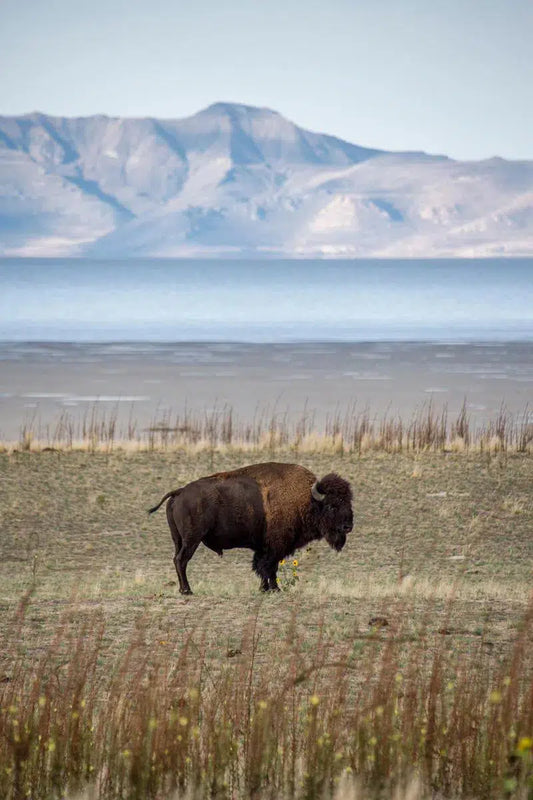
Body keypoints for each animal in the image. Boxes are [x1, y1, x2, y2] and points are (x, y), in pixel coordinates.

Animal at [148, 461, 353, 595]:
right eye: (332, 506)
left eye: (349, 502)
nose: (348, 526)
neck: (306, 499)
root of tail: (180, 492)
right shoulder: (274, 548)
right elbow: (269, 568)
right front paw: (275, 589)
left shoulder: (263, 547)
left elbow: (261, 567)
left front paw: (264, 589)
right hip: (192, 539)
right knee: (181, 560)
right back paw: (187, 590)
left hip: (178, 539)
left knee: (176, 558)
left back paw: (182, 589)